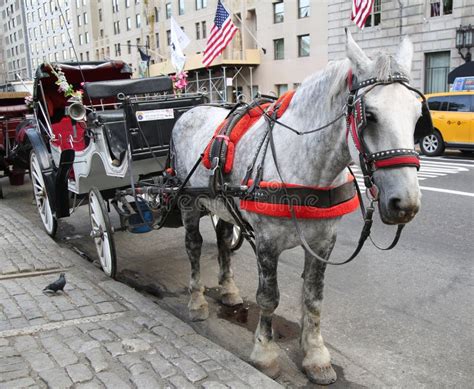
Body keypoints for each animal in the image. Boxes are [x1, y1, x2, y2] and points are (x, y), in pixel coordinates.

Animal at [171, 30, 426, 382]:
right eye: (370, 116)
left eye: (418, 115)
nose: (405, 203)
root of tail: (191, 110)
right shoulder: (267, 243)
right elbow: (269, 298)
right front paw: (264, 353)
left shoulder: (323, 241)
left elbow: (314, 298)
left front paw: (315, 355)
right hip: (189, 202)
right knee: (194, 247)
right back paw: (196, 302)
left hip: (221, 202)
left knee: (222, 240)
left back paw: (228, 290)